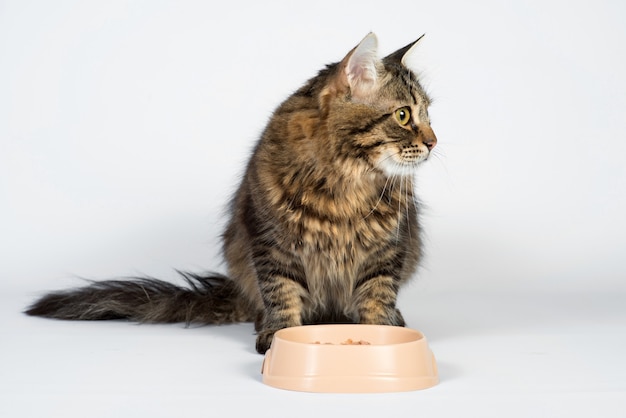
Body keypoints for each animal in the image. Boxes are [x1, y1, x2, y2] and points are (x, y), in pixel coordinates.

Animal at [24, 32, 434, 354]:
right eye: (403, 115)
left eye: (429, 116)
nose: (433, 142)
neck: (347, 183)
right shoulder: (270, 242)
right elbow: (281, 294)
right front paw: (280, 336)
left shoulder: (390, 248)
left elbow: (377, 295)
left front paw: (380, 334)